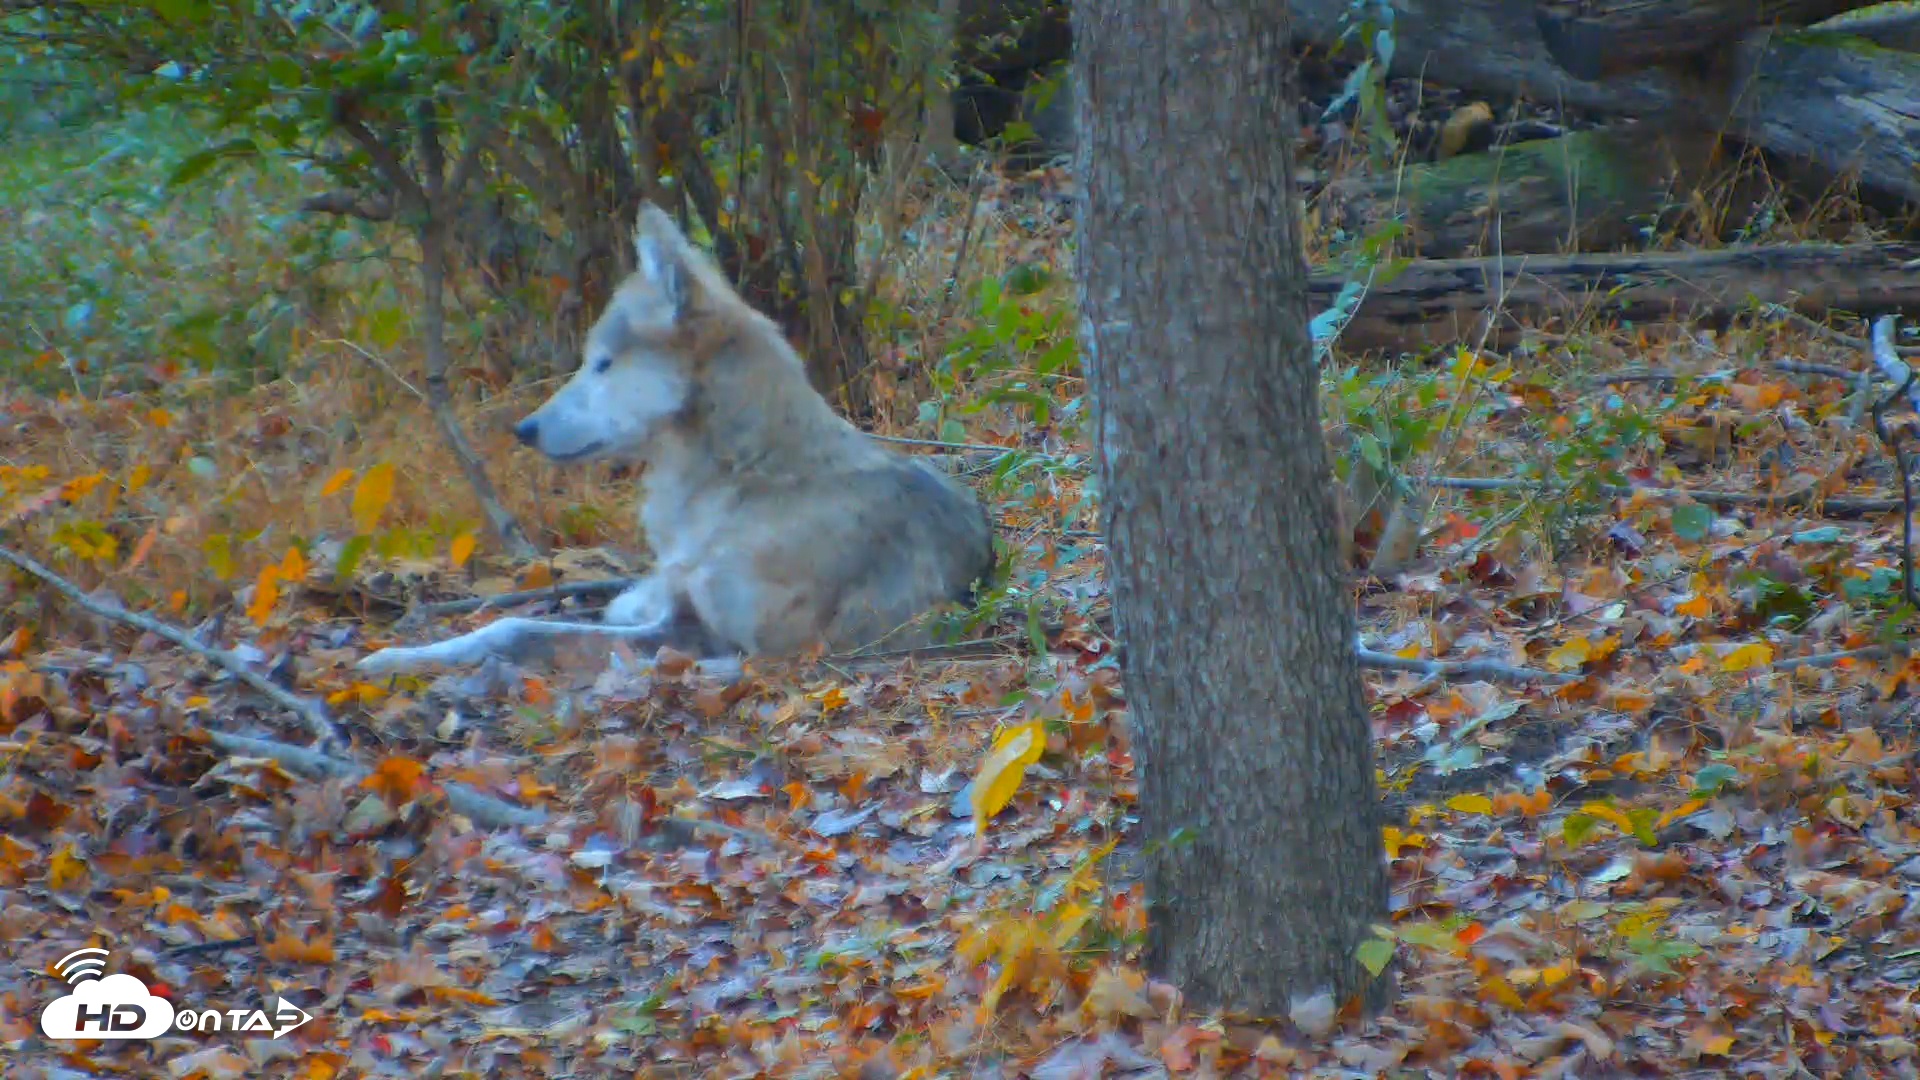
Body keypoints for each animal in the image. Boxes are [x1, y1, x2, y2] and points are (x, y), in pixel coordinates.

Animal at [357, 203, 997, 676]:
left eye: (603, 364)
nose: (524, 430)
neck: (747, 481)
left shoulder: (752, 646)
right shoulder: (685, 619)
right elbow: (512, 626)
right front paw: (395, 659)